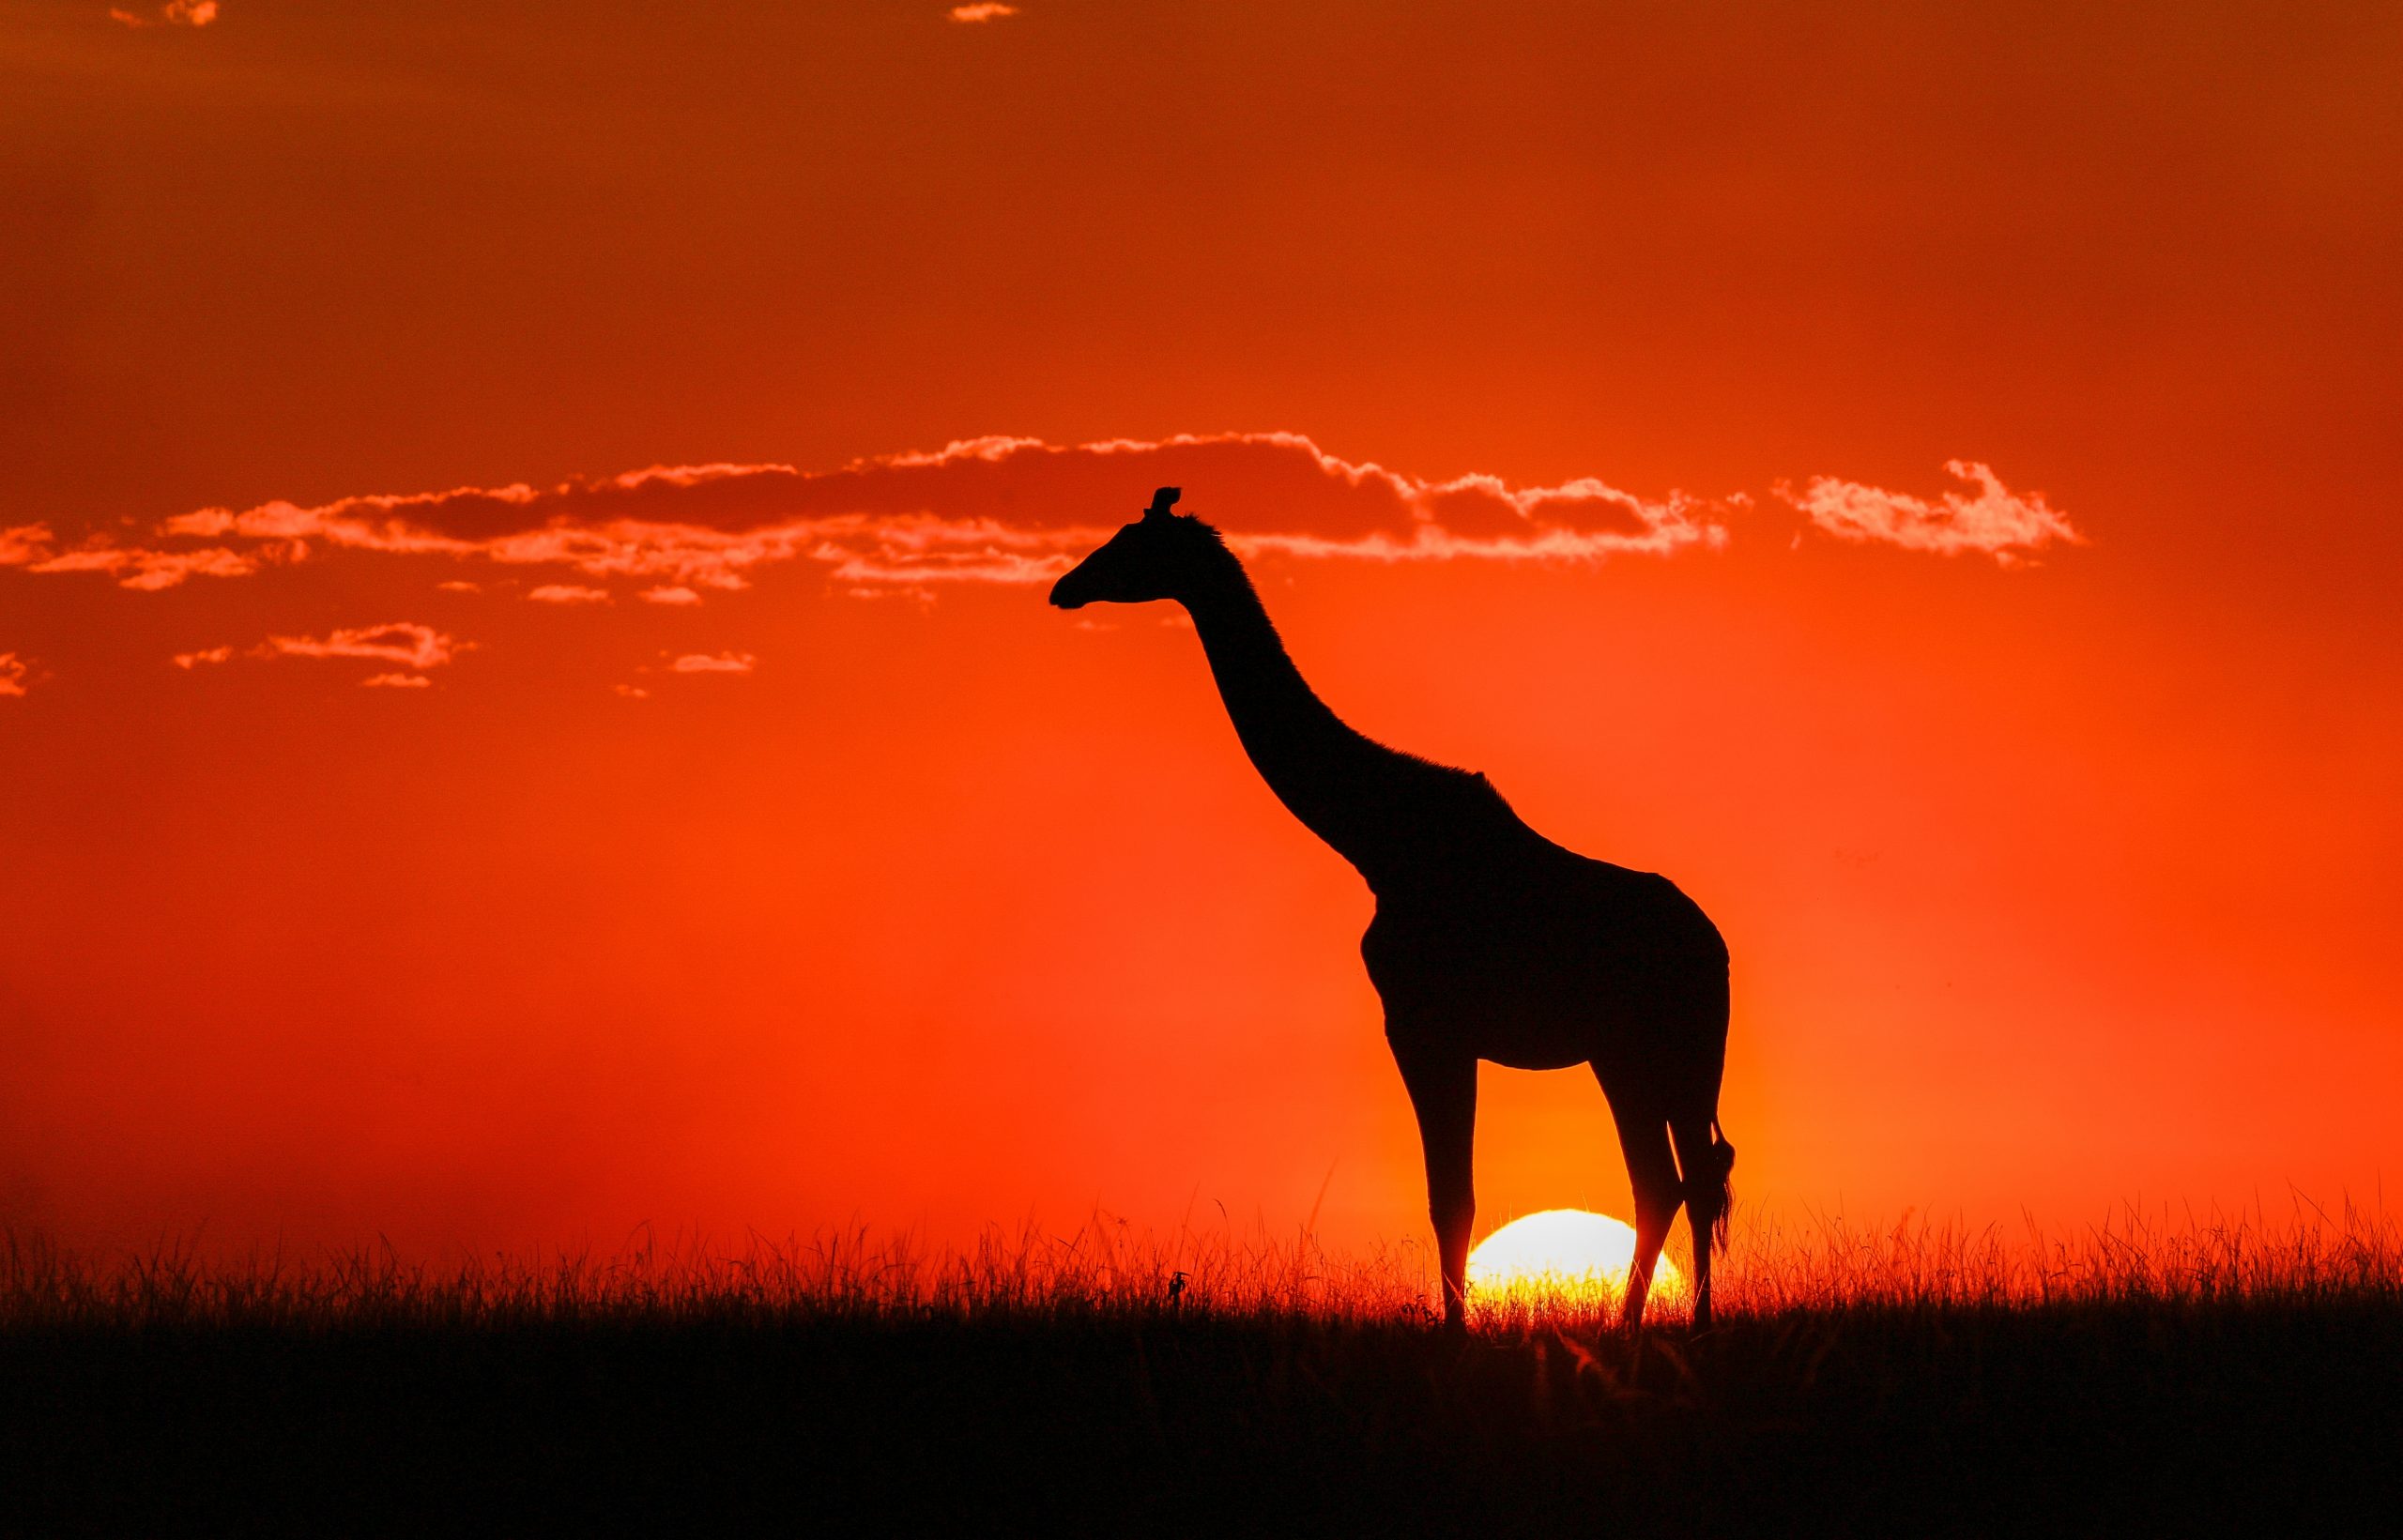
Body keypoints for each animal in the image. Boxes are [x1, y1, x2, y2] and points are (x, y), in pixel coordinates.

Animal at [1050, 487, 1735, 1331]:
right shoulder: (1436, 1030)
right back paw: (1664, 1323)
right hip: (1647, 1053)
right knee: (1682, 1178)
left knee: (1677, 1178)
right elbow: (1454, 1194)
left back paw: (1654, 1324)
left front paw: (1455, 1333)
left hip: (1653, 1050)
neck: (1376, 838)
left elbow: (1451, 1197)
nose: (1065, 587)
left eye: (1131, 543)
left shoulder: (1421, 1024)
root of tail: (1716, 947)